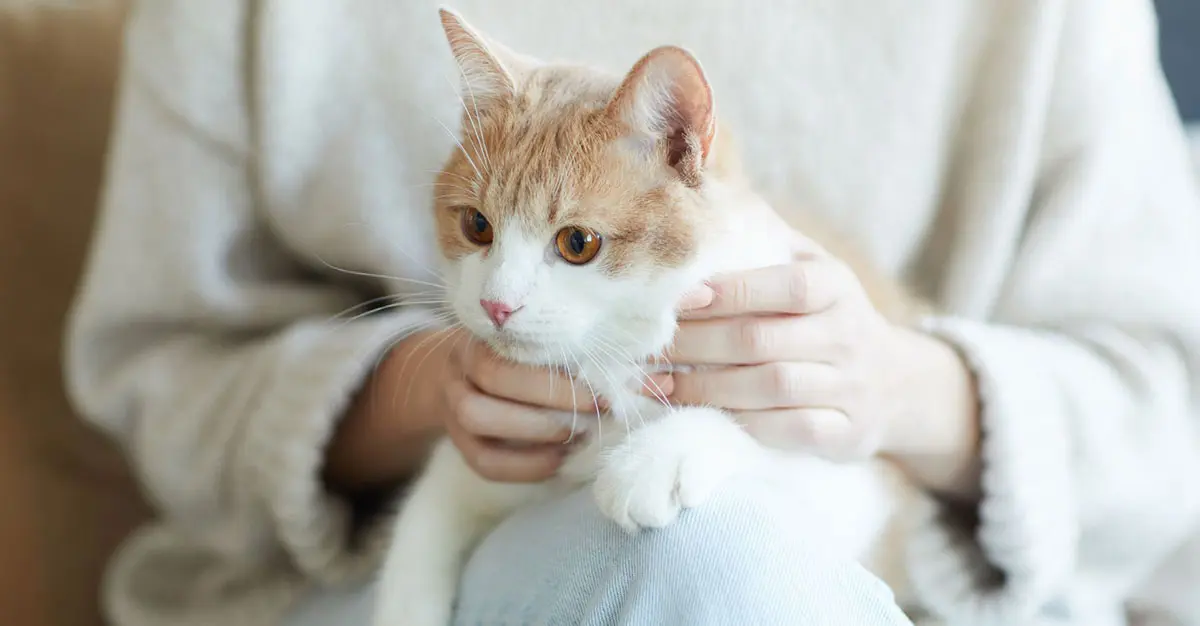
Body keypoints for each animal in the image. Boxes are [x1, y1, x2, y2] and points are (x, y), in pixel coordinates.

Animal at [374, 9, 916, 623]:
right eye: (477, 226)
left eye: (578, 243)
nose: (496, 304)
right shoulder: (473, 469)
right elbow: (419, 538)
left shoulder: (870, 489)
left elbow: (779, 450)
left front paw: (661, 456)